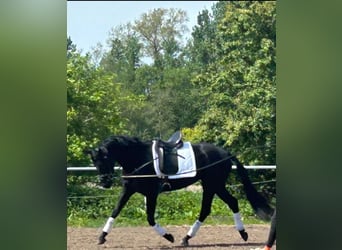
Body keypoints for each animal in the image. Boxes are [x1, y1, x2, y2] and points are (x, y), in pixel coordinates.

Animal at [84, 133, 274, 246]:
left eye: (105, 158)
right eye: (94, 161)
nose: (105, 183)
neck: (139, 159)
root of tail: (226, 153)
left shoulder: (151, 193)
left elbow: (150, 218)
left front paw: (168, 236)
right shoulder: (128, 190)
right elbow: (115, 211)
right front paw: (102, 236)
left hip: (212, 185)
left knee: (207, 209)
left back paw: (186, 238)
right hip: (216, 186)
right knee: (230, 203)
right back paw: (242, 234)